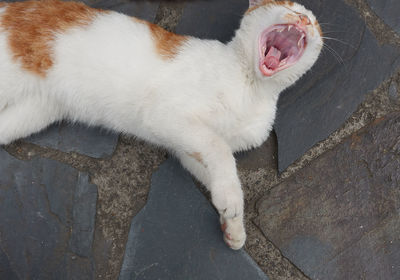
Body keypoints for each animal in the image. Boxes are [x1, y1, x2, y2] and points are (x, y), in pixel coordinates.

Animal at [0, 0, 322, 249]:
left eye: (316, 24)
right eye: (287, 5)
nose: (304, 18)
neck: (253, 87)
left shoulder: (187, 147)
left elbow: (219, 167)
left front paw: (233, 226)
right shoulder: (169, 116)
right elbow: (219, 150)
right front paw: (230, 201)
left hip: (35, 109)